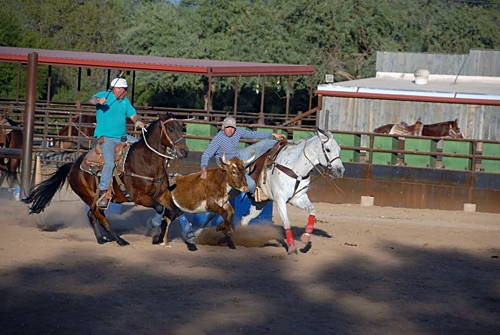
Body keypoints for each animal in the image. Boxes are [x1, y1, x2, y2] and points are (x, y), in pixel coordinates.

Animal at [23, 114, 189, 248]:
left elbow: (175, 211)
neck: (146, 162)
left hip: (94, 199)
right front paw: (155, 230)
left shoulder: (163, 194)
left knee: (92, 215)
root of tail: (73, 166)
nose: (184, 151)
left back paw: (101, 239)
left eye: (181, 128)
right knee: (99, 216)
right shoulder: (139, 197)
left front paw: (158, 238)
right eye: (170, 129)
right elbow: (161, 209)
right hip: (89, 196)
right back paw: (120, 240)